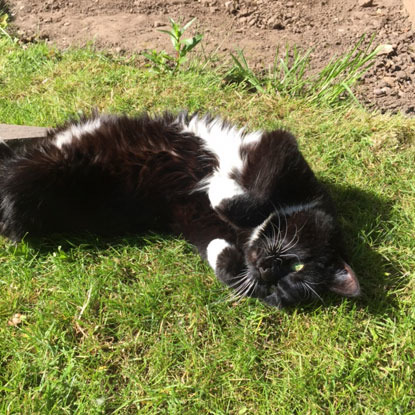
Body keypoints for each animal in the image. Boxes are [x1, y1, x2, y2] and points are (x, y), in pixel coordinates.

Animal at [0, 112, 360, 308]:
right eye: (297, 265)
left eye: (280, 289)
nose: (265, 271)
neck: (247, 235)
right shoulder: (287, 156)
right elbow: (253, 191)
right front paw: (220, 188)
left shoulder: (192, 219)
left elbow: (221, 261)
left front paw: (224, 255)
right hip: (45, 168)